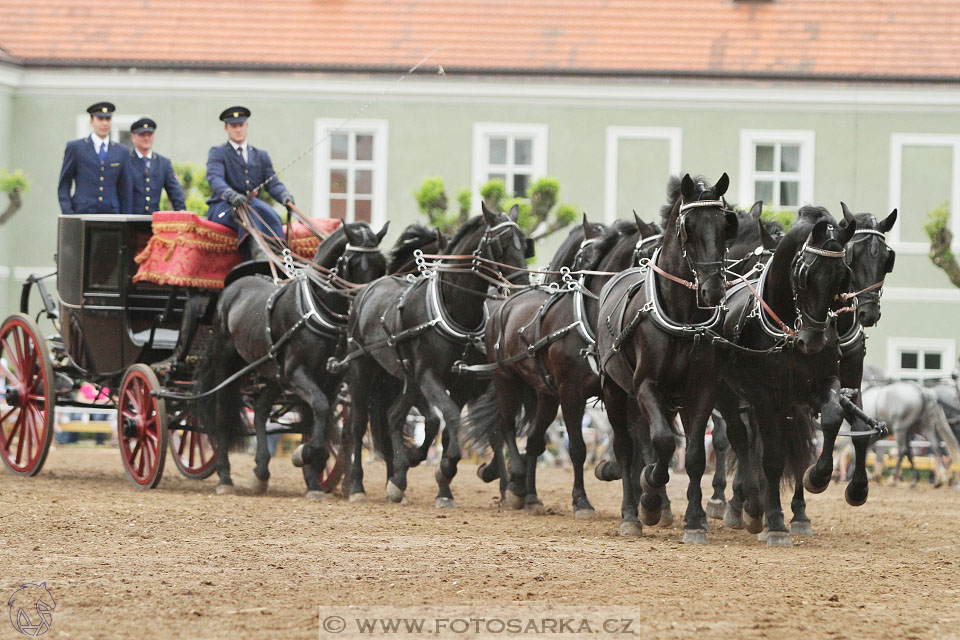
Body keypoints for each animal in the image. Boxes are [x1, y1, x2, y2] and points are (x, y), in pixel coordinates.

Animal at [193, 222, 388, 498]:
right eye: (353, 263)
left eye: (382, 264)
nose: (366, 302)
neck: (317, 310)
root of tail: (230, 290)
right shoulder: (297, 372)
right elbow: (319, 408)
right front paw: (306, 455)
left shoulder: (330, 380)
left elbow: (314, 421)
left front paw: (314, 475)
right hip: (228, 364)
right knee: (222, 414)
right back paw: (224, 477)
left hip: (274, 374)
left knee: (261, 410)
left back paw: (261, 472)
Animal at [340, 204, 532, 504]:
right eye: (500, 245)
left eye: (524, 243)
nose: (521, 284)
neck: (454, 309)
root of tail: (365, 291)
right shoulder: (429, 376)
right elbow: (448, 417)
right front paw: (444, 468)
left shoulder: (462, 381)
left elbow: (447, 426)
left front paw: (443, 479)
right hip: (363, 367)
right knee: (359, 424)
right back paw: (358, 485)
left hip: (406, 378)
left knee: (392, 416)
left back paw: (399, 476)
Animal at [592, 172, 736, 536]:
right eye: (689, 227)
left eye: (725, 225)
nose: (713, 290)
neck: (683, 317)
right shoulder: (645, 385)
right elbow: (663, 442)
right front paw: (650, 492)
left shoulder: (701, 390)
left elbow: (695, 454)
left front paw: (695, 520)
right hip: (616, 391)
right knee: (627, 448)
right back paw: (632, 512)